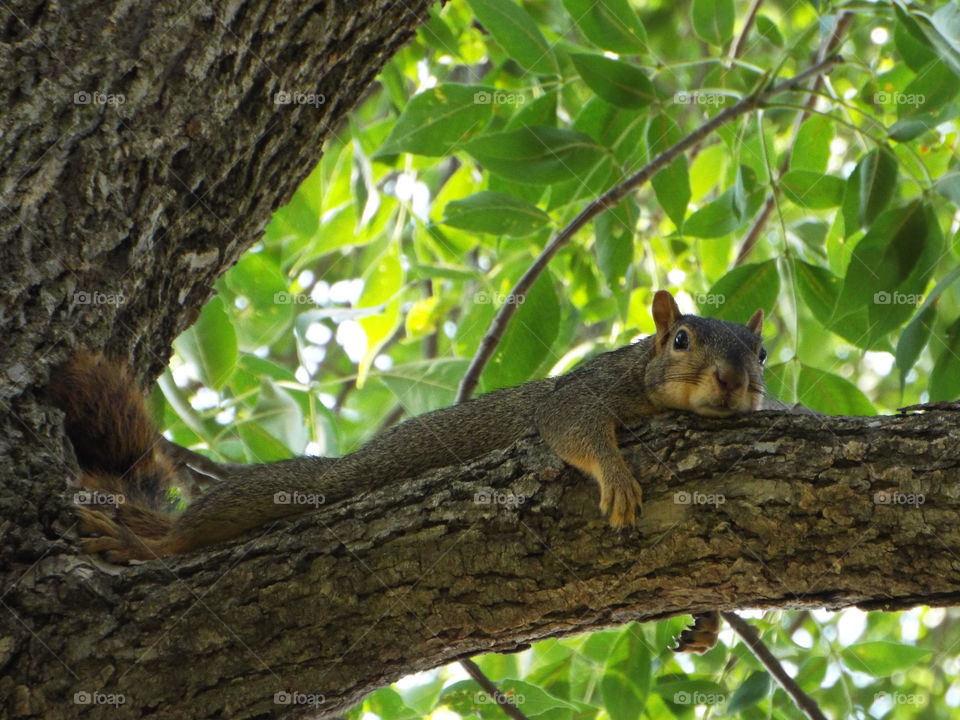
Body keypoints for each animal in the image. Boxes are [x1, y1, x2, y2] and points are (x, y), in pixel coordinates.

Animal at [50, 289, 766, 653]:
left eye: (761, 352)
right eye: (681, 340)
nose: (735, 382)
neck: (644, 377)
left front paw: (708, 619)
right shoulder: (583, 394)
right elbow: (573, 428)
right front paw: (616, 475)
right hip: (319, 484)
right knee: (200, 527)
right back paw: (147, 543)